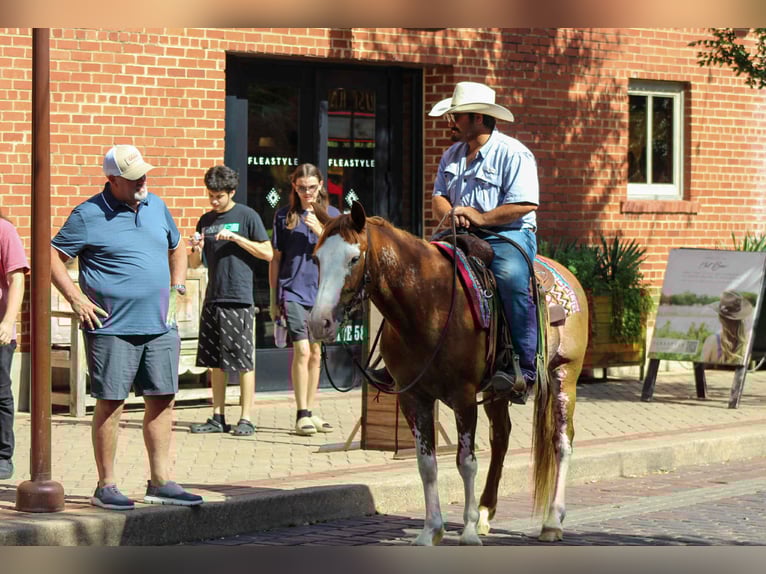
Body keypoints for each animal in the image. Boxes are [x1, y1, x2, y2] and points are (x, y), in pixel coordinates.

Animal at [308, 201, 589, 545]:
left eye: (353, 258)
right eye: (316, 258)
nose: (319, 322)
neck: (429, 303)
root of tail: (566, 274)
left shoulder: (463, 395)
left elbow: (465, 462)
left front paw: (466, 531)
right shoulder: (413, 397)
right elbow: (427, 464)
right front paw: (432, 530)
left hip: (565, 375)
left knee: (562, 442)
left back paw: (552, 522)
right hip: (496, 390)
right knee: (501, 439)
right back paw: (486, 513)